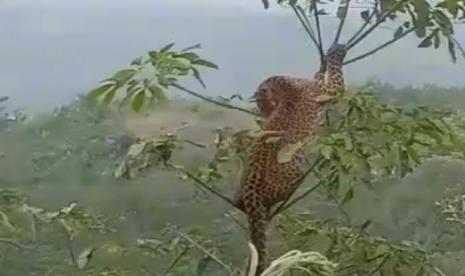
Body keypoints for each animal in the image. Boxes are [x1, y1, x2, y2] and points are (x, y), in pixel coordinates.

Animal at [234, 43, 346, 274]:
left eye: (262, 103)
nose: (264, 112)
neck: (287, 85)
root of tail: (250, 191)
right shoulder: (328, 90)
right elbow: (335, 73)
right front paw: (337, 50)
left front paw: (322, 66)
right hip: (292, 172)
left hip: (242, 196)